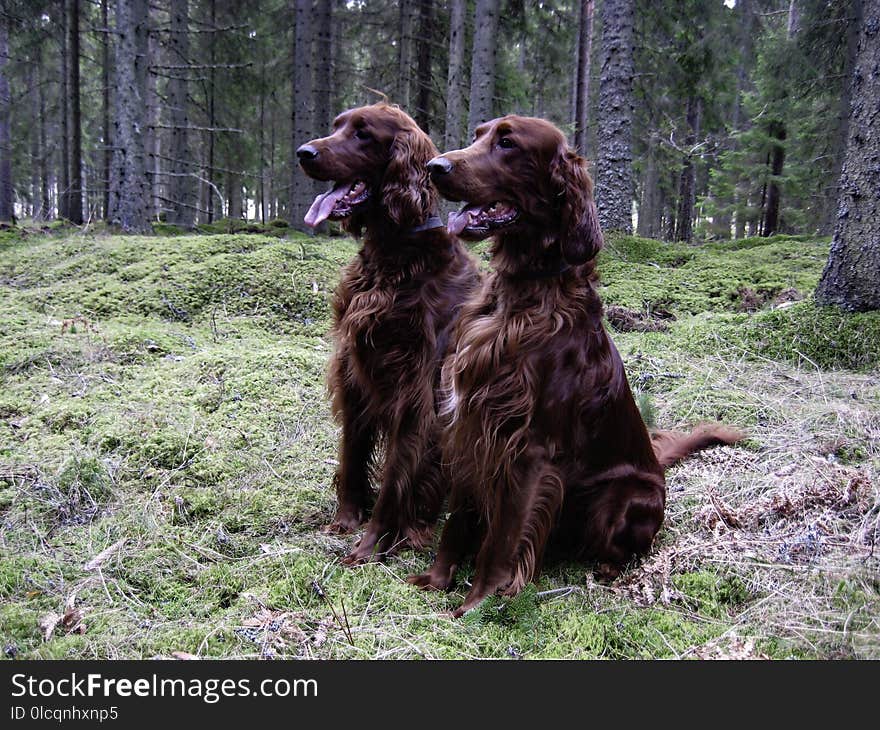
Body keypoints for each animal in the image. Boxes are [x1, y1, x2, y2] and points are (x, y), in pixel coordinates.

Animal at [296, 102, 478, 560]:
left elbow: (396, 474)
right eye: (337, 126)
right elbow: (352, 455)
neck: (392, 259)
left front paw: (370, 545)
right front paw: (345, 520)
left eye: (363, 133)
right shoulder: (353, 374)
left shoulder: (415, 392)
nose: (304, 152)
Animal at [408, 115, 744, 616]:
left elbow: (502, 540)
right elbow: (459, 519)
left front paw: (480, 603)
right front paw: (437, 579)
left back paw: (605, 569)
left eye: (507, 143)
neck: (524, 293)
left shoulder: (529, 448)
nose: (436, 167)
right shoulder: (471, 423)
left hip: (623, 498)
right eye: (478, 134)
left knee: (622, 547)